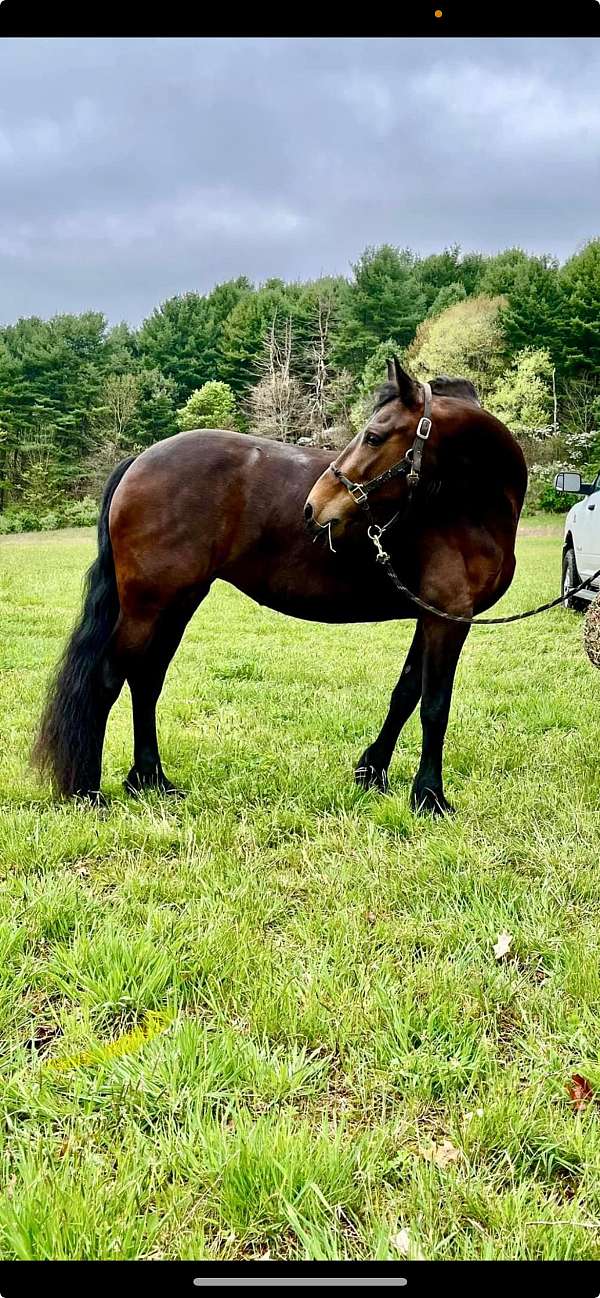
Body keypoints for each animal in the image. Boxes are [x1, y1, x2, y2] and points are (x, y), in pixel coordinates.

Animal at [33, 360, 524, 815]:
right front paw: (429, 797)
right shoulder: (449, 616)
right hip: (148, 606)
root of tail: (139, 460)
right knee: (109, 679)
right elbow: (435, 705)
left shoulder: (432, 614)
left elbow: (406, 693)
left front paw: (373, 772)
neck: (468, 504)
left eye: (373, 436)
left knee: (146, 680)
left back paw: (150, 780)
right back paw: (90, 792)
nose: (315, 507)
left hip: (178, 603)